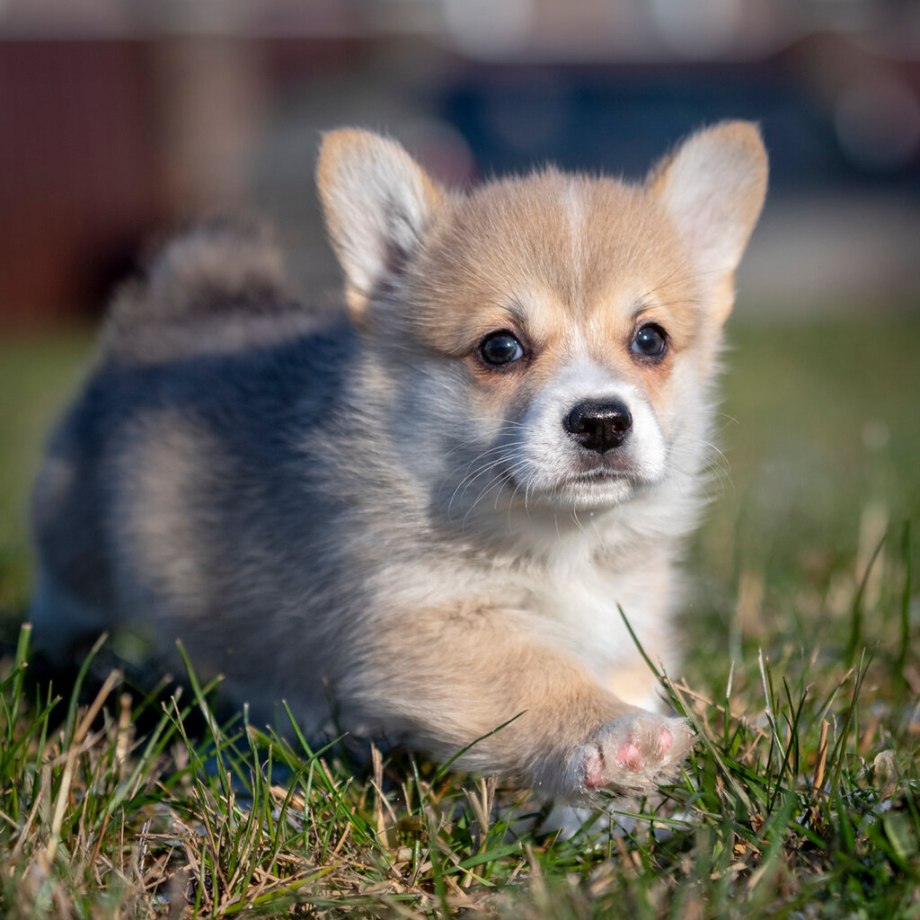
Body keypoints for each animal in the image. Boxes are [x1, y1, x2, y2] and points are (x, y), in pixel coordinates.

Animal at [30, 120, 768, 796]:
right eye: (500, 347)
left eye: (650, 339)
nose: (602, 421)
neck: (562, 543)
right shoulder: (414, 629)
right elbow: (536, 676)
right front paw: (613, 733)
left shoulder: (624, 623)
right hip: (78, 559)